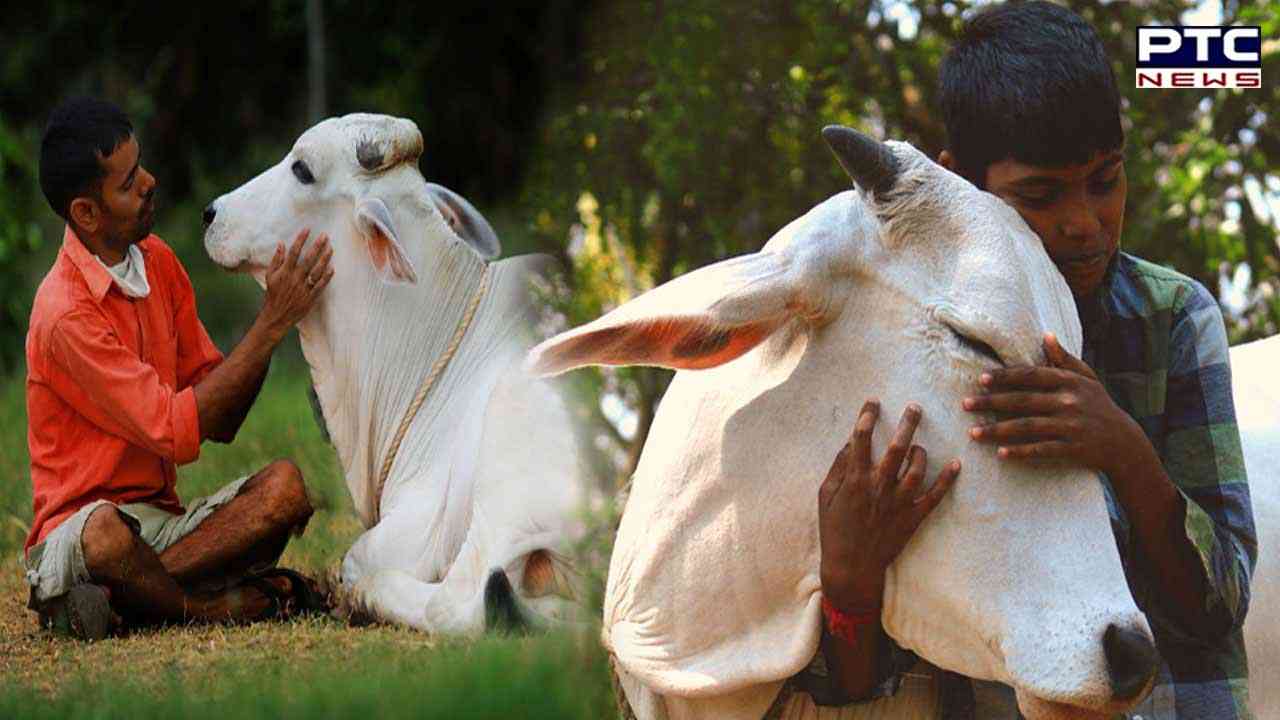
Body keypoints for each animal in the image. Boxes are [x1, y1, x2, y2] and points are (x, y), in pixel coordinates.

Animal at [202, 113, 585, 635]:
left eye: (303, 169)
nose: (211, 213)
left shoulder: (419, 528)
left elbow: (355, 559)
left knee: (459, 604)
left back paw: (369, 596)